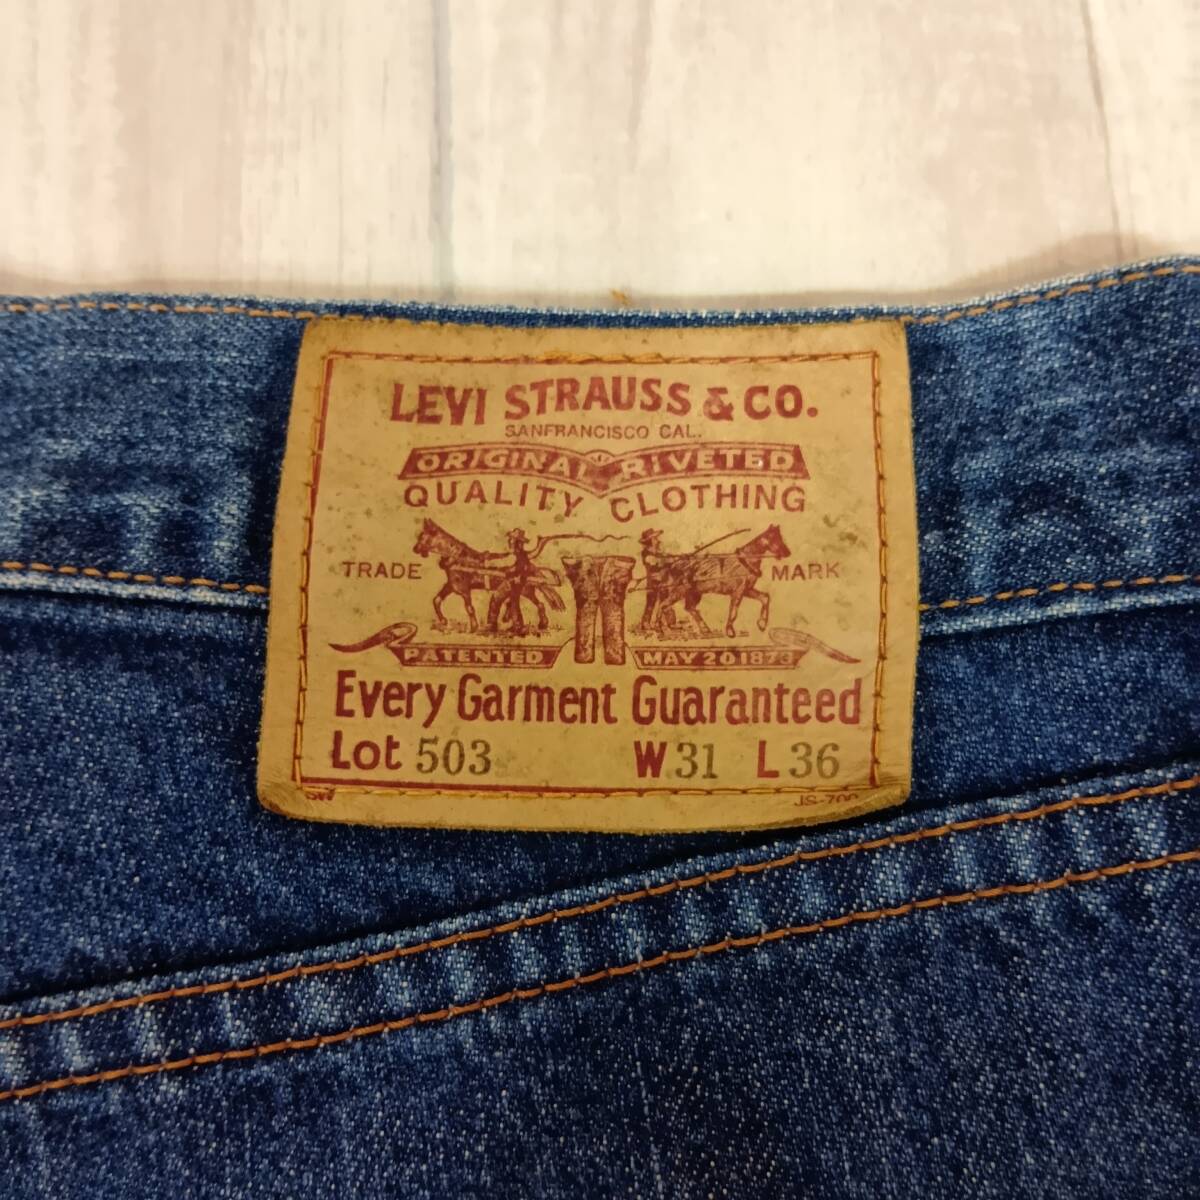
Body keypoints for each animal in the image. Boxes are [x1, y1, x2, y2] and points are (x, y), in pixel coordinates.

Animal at [412, 519, 564, 634]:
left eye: (422, 537)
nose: (415, 549)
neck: (457, 559)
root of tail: (530, 566)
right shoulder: (451, 586)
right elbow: (437, 600)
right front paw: (443, 620)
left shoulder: (463, 589)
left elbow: (469, 608)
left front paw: (474, 627)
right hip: (525, 590)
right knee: (529, 604)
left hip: (525, 590)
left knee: (535, 604)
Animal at [641, 524, 791, 638]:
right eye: (775, 539)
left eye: (780, 538)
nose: (787, 553)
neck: (746, 561)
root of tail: (670, 565)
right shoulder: (738, 592)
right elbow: (734, 611)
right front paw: (730, 630)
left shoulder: (747, 590)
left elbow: (765, 597)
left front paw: (761, 624)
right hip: (679, 591)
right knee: (664, 605)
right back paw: (659, 628)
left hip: (694, 592)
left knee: (689, 608)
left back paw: (705, 629)